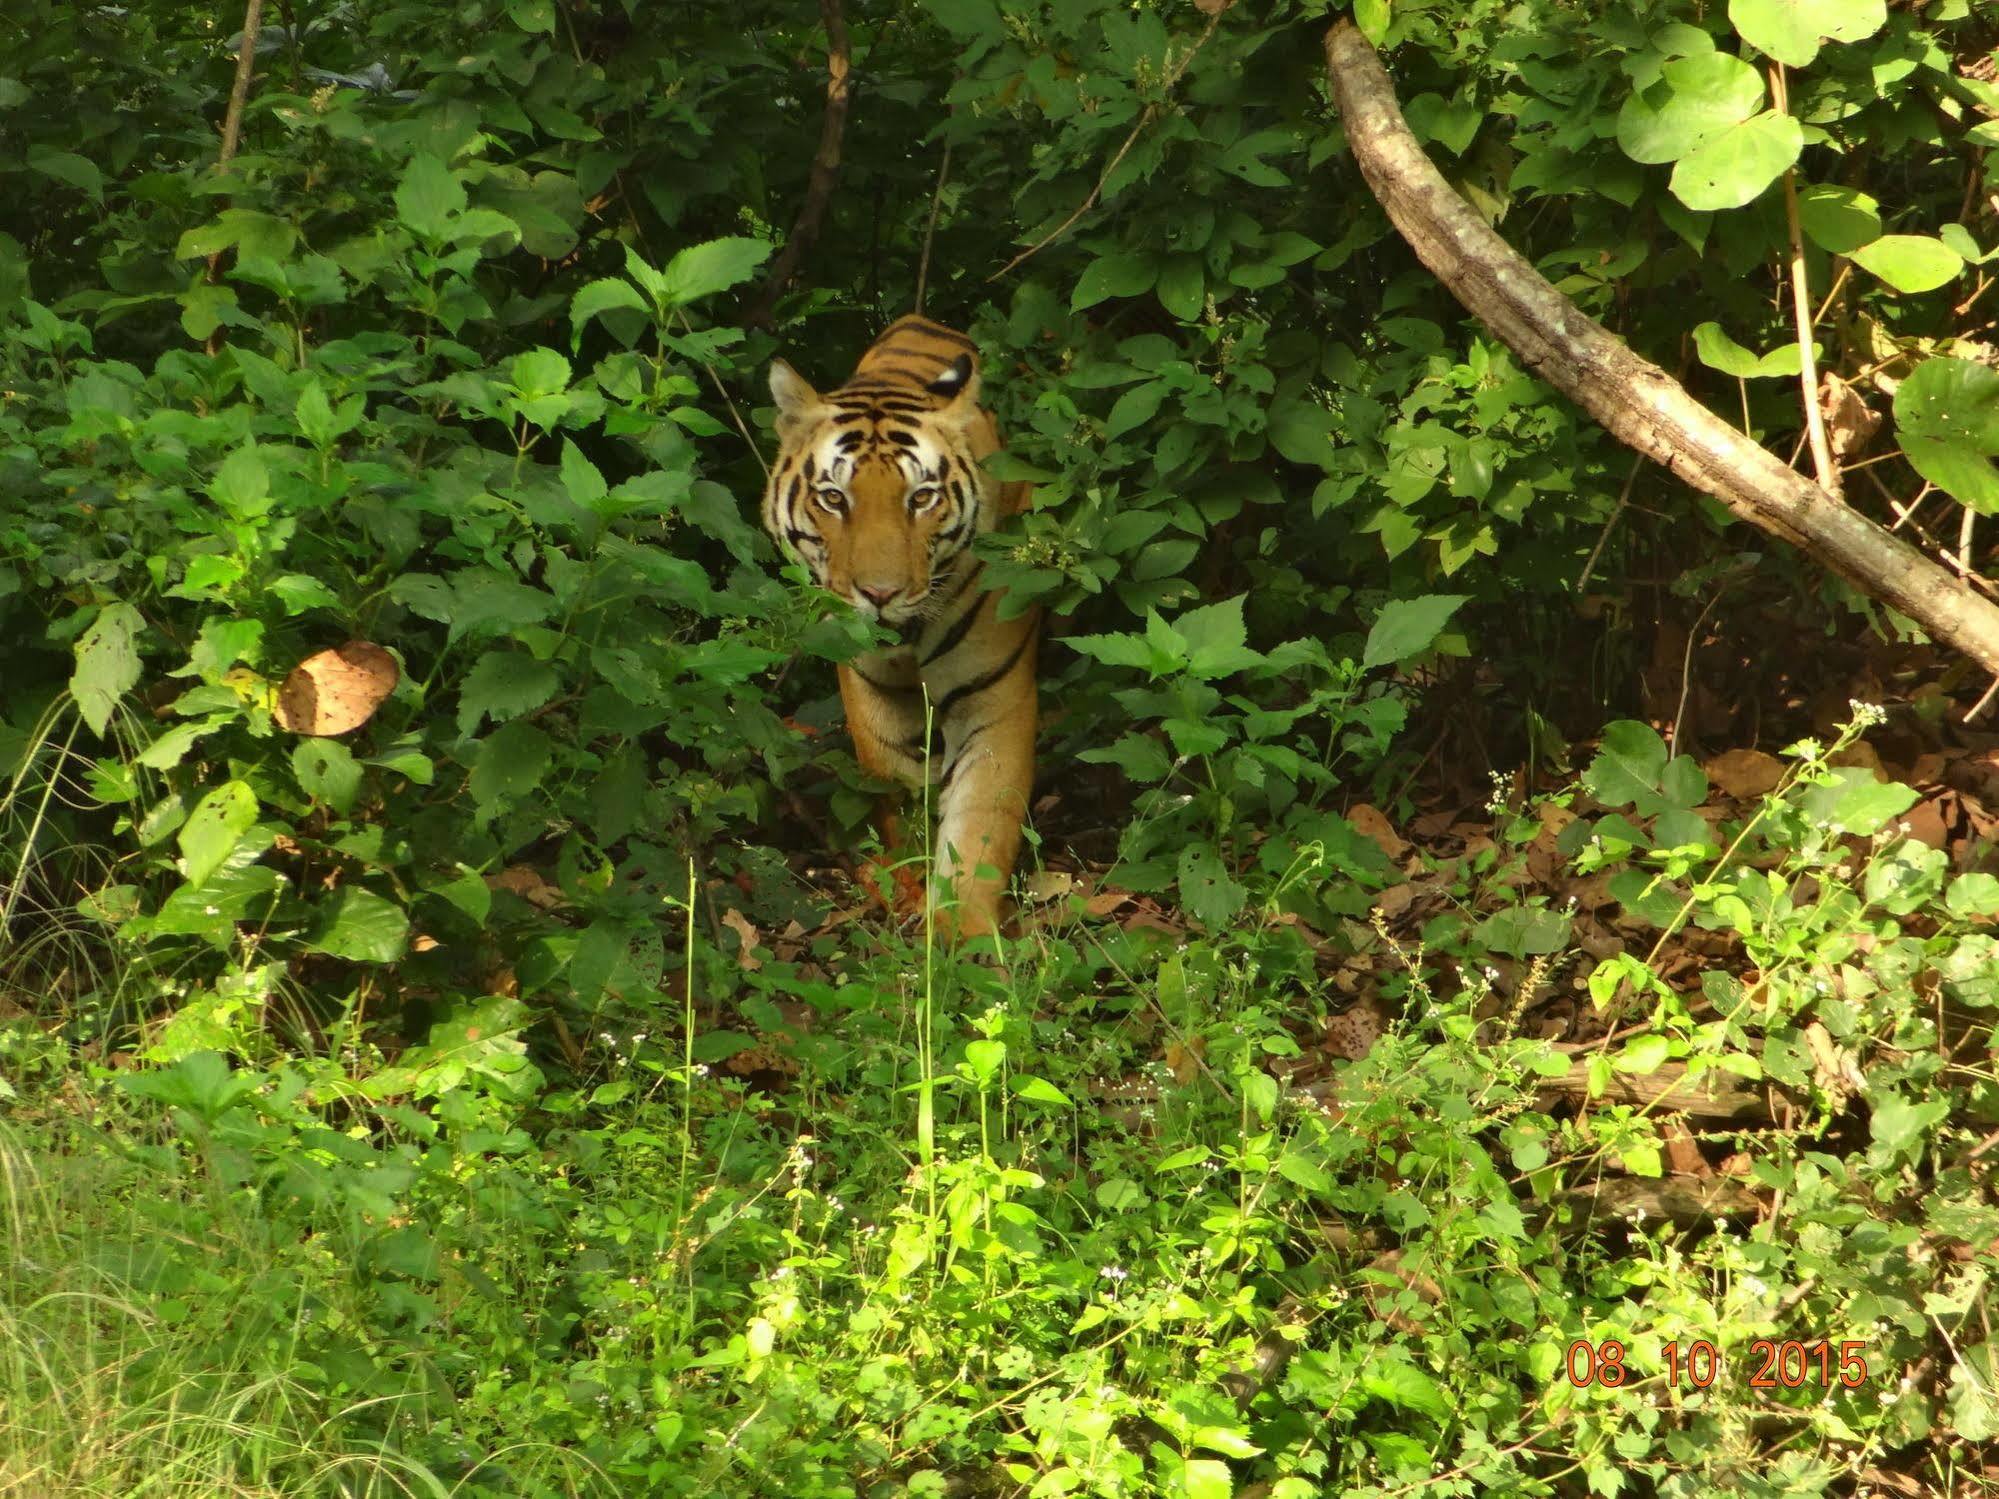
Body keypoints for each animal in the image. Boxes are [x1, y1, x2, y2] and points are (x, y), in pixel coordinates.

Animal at [763, 317, 1047, 939]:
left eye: (921, 498)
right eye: (833, 498)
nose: (880, 594)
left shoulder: (995, 699)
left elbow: (980, 820)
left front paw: (963, 938)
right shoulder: (873, 695)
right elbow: (898, 795)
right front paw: (912, 892)